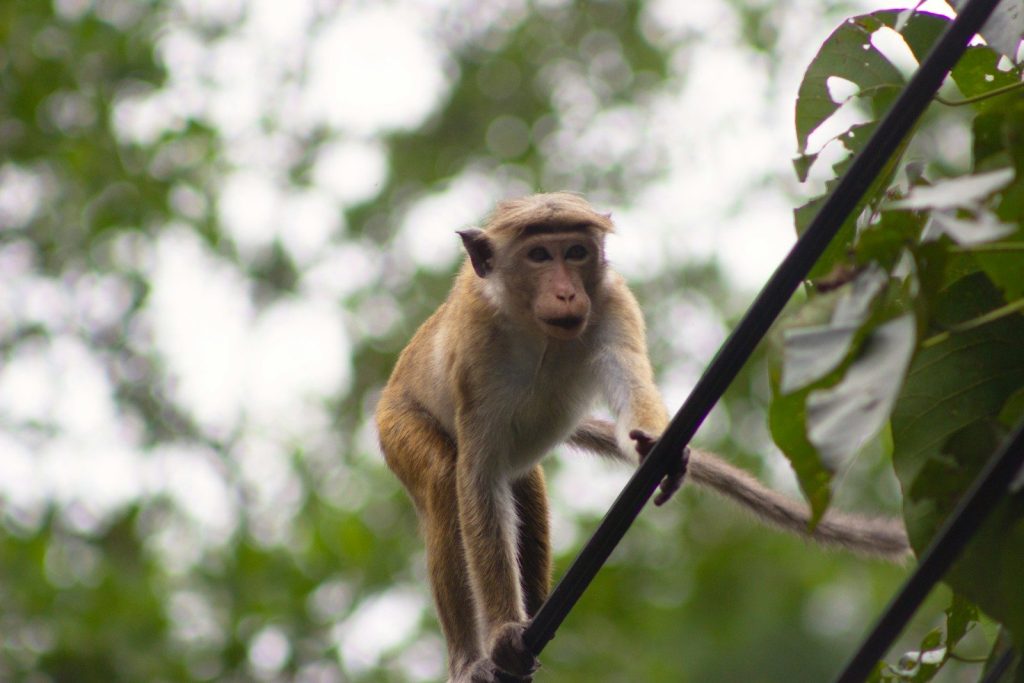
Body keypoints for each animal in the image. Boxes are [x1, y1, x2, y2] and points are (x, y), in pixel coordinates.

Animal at [375, 192, 908, 683]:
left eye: (576, 252)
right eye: (539, 255)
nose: (567, 293)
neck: (533, 326)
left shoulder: (613, 302)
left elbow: (631, 385)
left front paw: (660, 451)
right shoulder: (475, 345)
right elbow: (478, 477)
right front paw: (505, 629)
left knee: (523, 488)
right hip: (394, 424)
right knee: (445, 480)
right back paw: (470, 658)